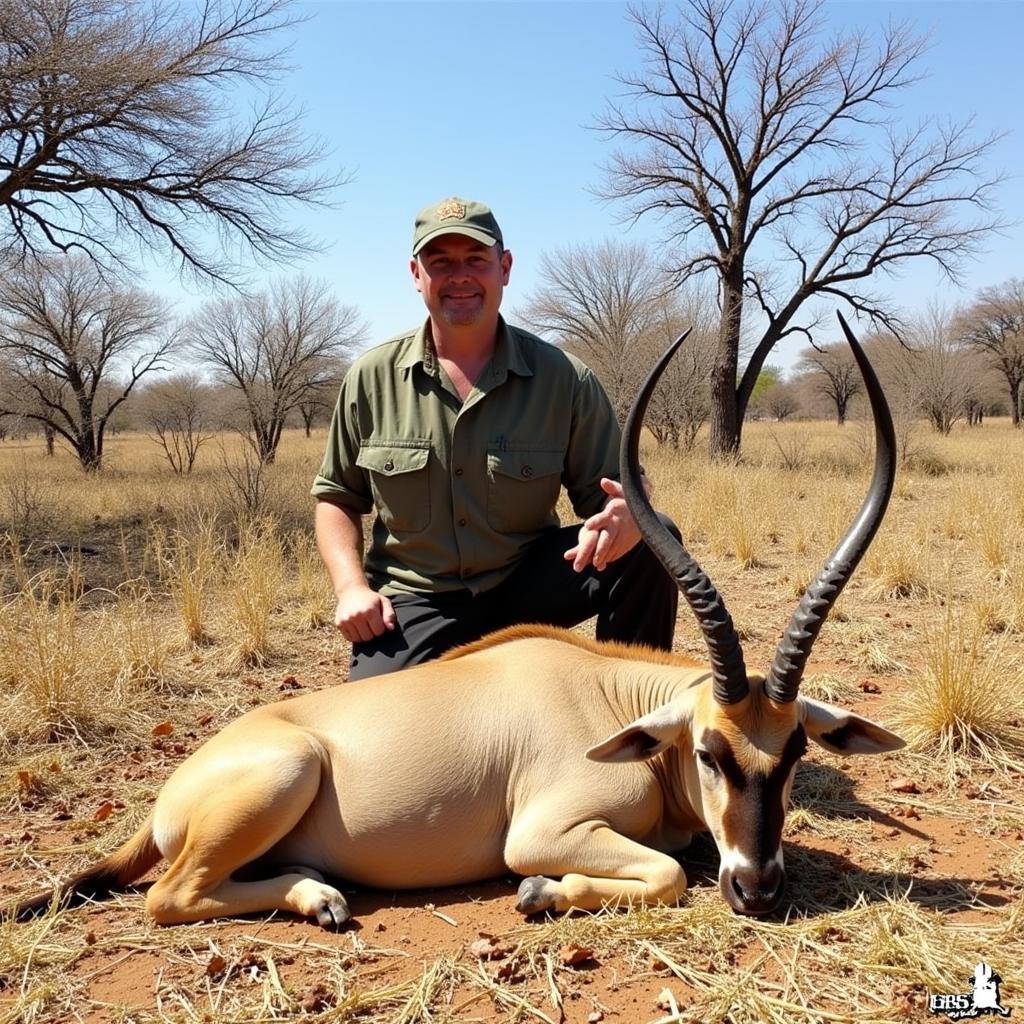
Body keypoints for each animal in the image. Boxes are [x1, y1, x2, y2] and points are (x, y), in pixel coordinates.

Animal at [9, 313, 905, 929]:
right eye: (711, 752)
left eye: (794, 752)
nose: (757, 885)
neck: (615, 702)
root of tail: (175, 790)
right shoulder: (545, 829)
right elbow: (668, 873)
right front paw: (542, 893)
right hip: (282, 776)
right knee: (166, 896)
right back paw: (320, 897)